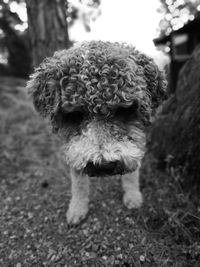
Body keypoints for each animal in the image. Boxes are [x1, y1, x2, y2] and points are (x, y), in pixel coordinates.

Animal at [27, 41, 167, 226]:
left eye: (124, 109)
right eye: (74, 115)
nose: (104, 165)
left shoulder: (137, 140)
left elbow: (132, 173)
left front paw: (133, 196)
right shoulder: (72, 148)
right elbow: (78, 183)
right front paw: (77, 209)